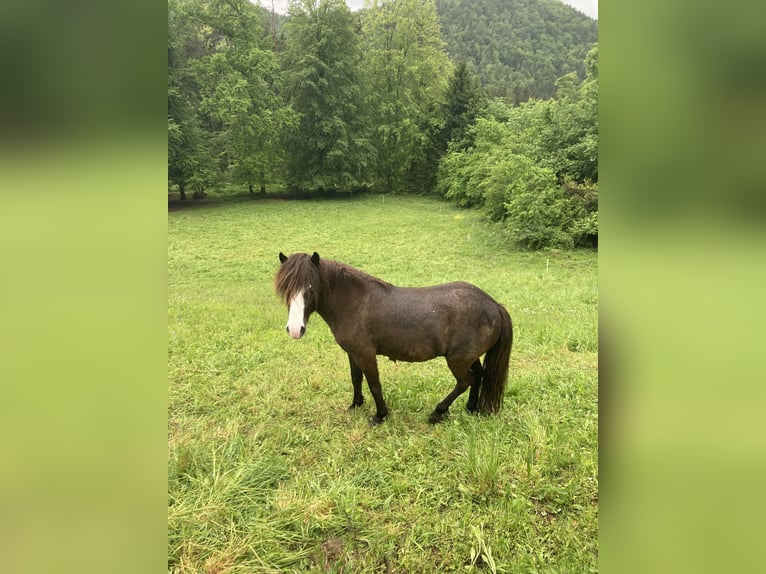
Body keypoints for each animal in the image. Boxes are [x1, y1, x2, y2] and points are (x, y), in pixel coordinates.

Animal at [274, 251, 513, 425]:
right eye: (285, 288)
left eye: (311, 288)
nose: (295, 329)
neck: (354, 302)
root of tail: (494, 305)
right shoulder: (353, 353)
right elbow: (356, 379)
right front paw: (356, 404)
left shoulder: (366, 355)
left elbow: (374, 384)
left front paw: (380, 415)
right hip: (469, 357)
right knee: (478, 375)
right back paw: (471, 408)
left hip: (457, 360)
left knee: (465, 381)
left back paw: (438, 413)